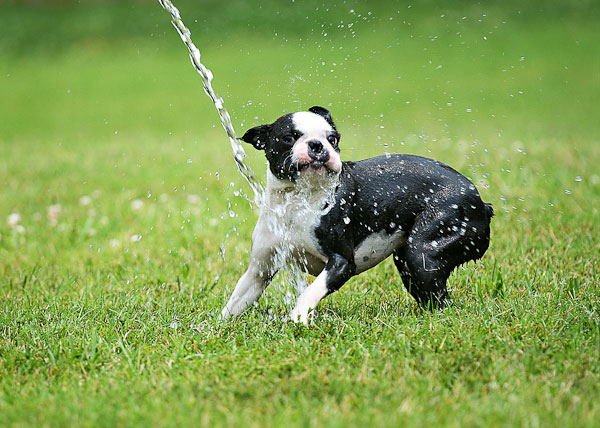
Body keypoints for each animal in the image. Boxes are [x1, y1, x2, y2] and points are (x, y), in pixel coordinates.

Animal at [220, 106, 492, 324]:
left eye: (332, 139)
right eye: (288, 138)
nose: (317, 145)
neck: (297, 202)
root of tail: (481, 202)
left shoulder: (341, 263)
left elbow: (311, 291)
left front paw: (298, 317)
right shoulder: (259, 270)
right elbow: (235, 301)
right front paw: (217, 327)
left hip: (424, 250)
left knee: (441, 298)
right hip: (409, 262)